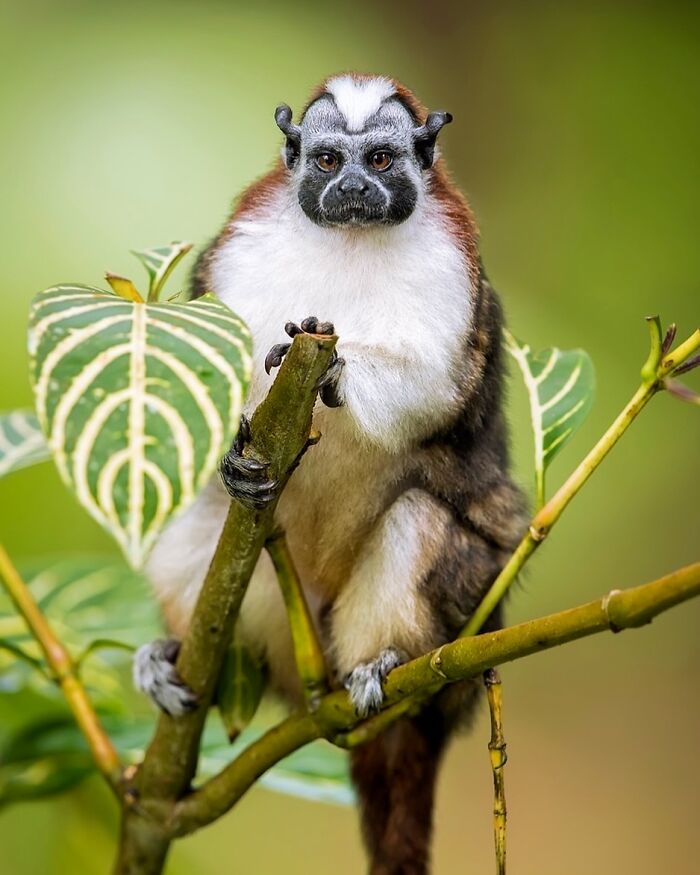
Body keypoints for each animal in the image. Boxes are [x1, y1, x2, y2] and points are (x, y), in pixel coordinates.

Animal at [135, 73, 527, 874]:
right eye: (325, 161)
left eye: (378, 160)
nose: (350, 188)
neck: (349, 245)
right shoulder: (239, 250)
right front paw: (233, 460)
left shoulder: (453, 271)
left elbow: (437, 391)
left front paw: (341, 367)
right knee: (202, 523)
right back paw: (175, 655)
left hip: (468, 624)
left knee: (424, 518)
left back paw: (384, 664)